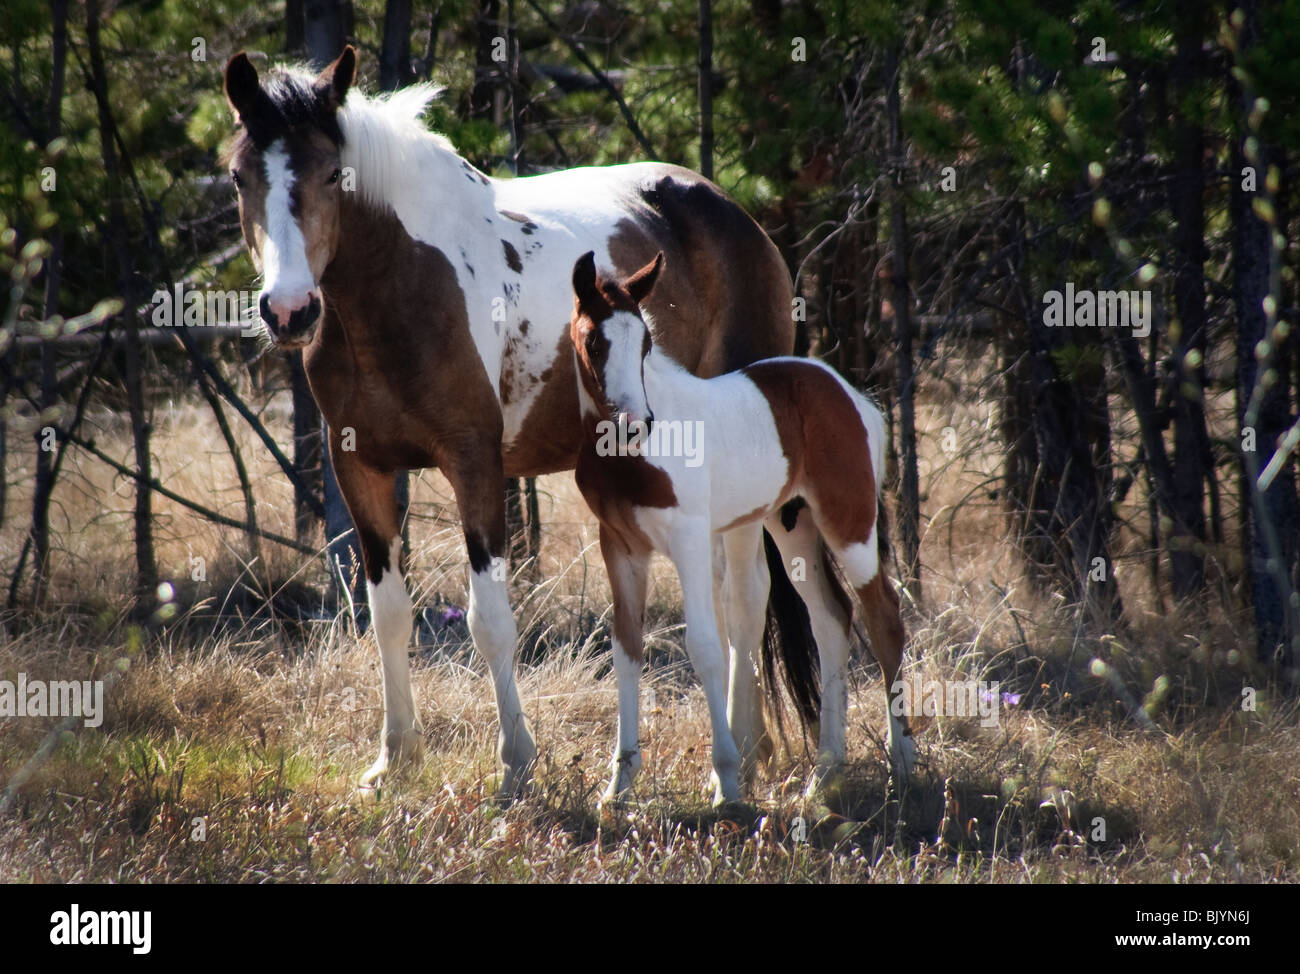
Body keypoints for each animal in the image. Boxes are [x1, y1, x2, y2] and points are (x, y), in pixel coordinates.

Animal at [220, 45, 842, 795]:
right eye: (238, 176)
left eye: (332, 173)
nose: (289, 311)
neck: (401, 284)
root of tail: (736, 215)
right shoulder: (358, 466)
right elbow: (388, 612)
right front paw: (394, 758)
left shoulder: (474, 460)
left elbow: (489, 619)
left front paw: (515, 762)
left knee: (747, 601)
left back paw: (744, 754)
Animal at [569, 252, 915, 806]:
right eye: (594, 342)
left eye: (645, 343)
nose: (635, 422)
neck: (629, 458)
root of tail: (850, 395)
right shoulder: (620, 547)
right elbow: (626, 649)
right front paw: (617, 786)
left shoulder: (689, 539)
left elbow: (706, 647)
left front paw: (727, 782)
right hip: (792, 527)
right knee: (832, 619)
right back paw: (824, 773)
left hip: (850, 523)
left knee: (883, 617)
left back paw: (902, 762)